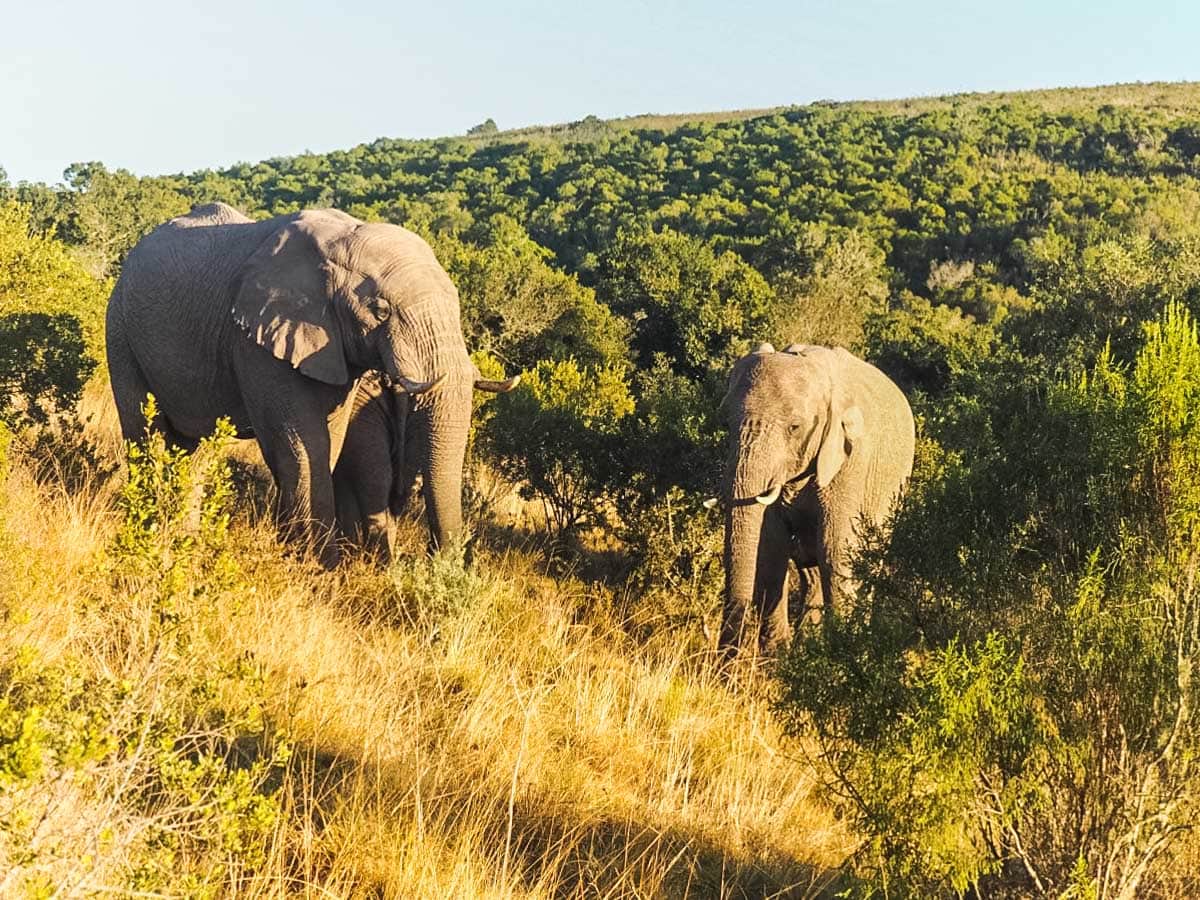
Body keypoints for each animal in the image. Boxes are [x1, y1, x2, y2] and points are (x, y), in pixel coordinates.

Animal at [105, 204, 513, 564]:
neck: (344, 236)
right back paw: (150, 534)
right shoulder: (258, 340)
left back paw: (185, 538)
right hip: (120, 330)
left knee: (197, 449)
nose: (434, 560)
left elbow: (328, 442)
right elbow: (304, 447)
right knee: (147, 435)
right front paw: (320, 570)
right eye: (380, 311)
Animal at [710, 340, 907, 657]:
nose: (724, 663)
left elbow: (836, 552)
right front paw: (777, 659)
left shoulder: (850, 463)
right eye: (726, 422)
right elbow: (771, 548)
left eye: (795, 427)